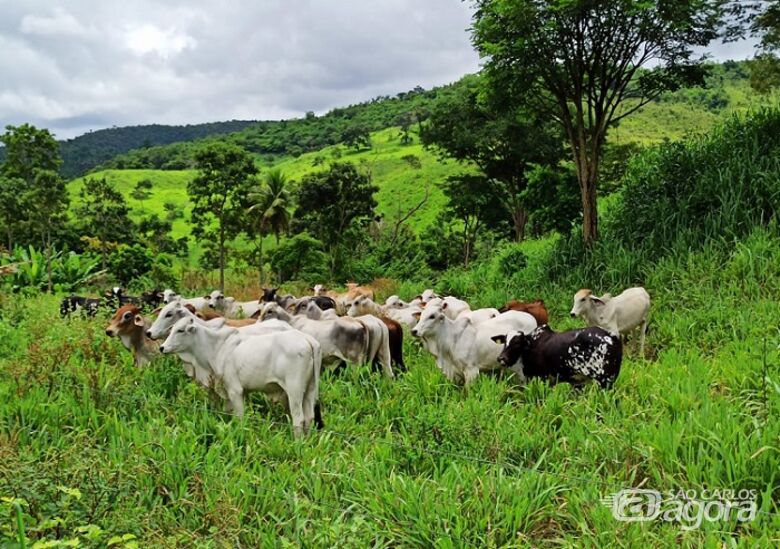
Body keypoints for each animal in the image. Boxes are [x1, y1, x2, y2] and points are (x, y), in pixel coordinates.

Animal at [160, 316, 322, 436]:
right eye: (171, 329)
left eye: (180, 330)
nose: (162, 347)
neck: (218, 348)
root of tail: (307, 339)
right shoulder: (225, 390)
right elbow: (227, 413)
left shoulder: (235, 391)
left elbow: (239, 418)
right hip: (310, 388)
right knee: (309, 417)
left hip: (294, 390)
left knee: (298, 419)